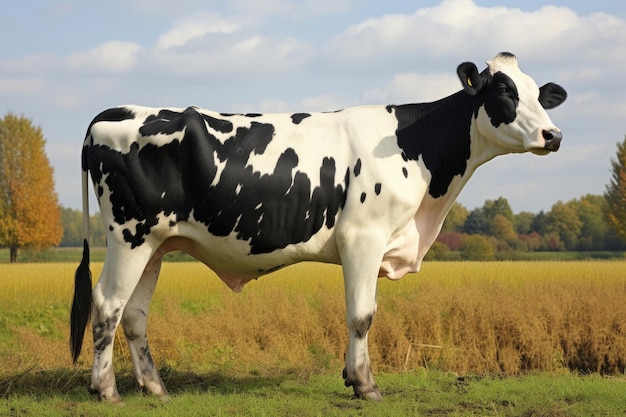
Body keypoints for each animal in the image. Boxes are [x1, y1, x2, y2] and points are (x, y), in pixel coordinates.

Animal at [69, 51, 564, 400]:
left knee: (134, 313)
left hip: (155, 243)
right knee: (107, 305)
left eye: (539, 94)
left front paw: (352, 376)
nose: (553, 135)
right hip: (129, 235)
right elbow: (362, 314)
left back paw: (156, 388)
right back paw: (106, 390)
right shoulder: (363, 238)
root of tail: (113, 112)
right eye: (504, 92)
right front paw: (365, 385)